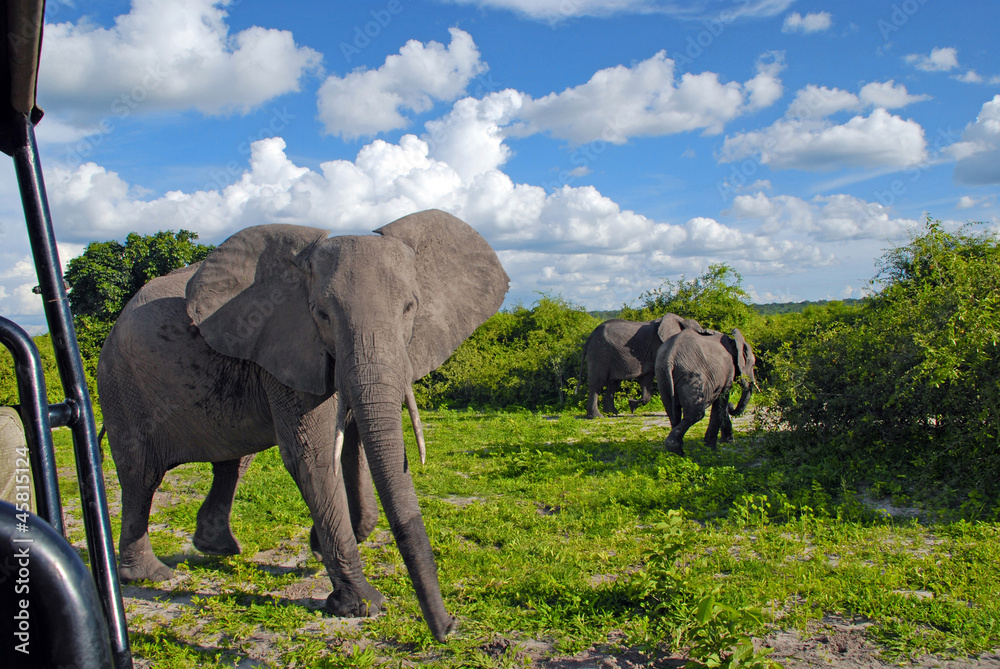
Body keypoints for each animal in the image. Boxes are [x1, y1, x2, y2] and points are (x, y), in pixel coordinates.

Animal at [96, 209, 509, 642]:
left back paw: (219, 550)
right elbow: (313, 457)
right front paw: (362, 606)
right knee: (141, 475)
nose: (449, 627)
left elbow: (353, 443)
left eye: (410, 308)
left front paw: (322, 544)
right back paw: (151, 576)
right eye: (322, 314)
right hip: (121, 383)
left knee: (233, 461)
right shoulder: (286, 345)